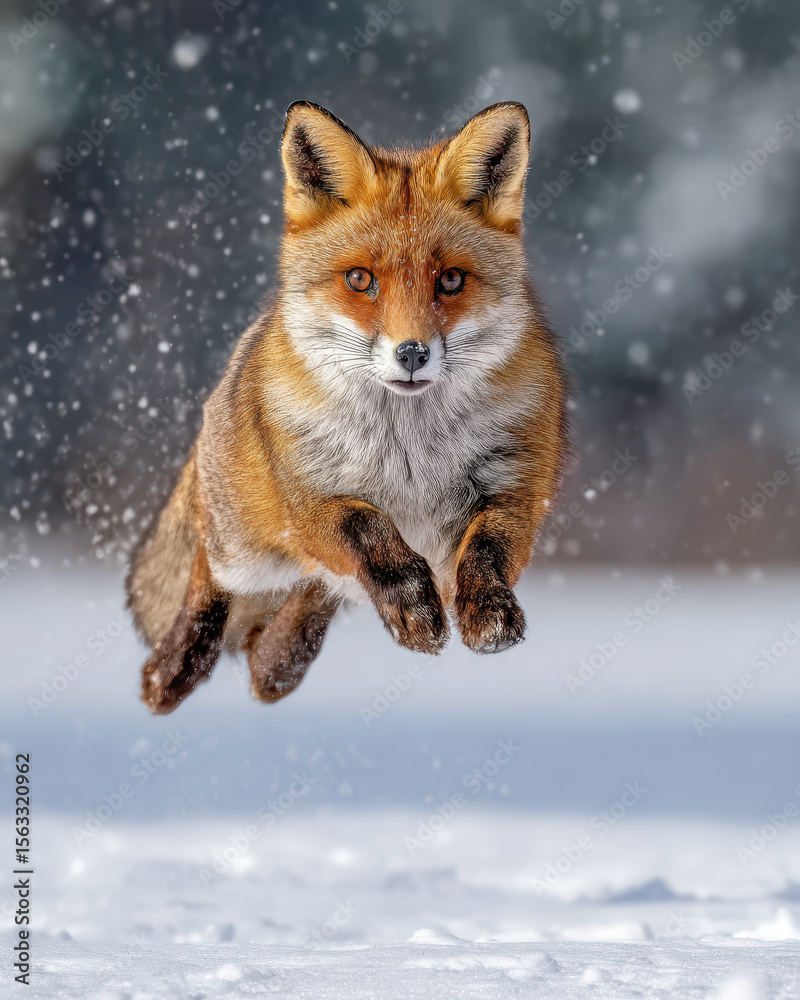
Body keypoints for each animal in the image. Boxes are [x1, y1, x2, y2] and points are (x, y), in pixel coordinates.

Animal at [126, 99, 570, 715]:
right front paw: (414, 606)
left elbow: (486, 550)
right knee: (208, 574)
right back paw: (169, 672)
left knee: (290, 625)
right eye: (361, 279)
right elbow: (372, 533)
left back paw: (275, 665)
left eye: (451, 279)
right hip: (245, 548)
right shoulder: (315, 497)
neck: (412, 453)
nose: (412, 352)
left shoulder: (514, 488)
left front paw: (488, 615)